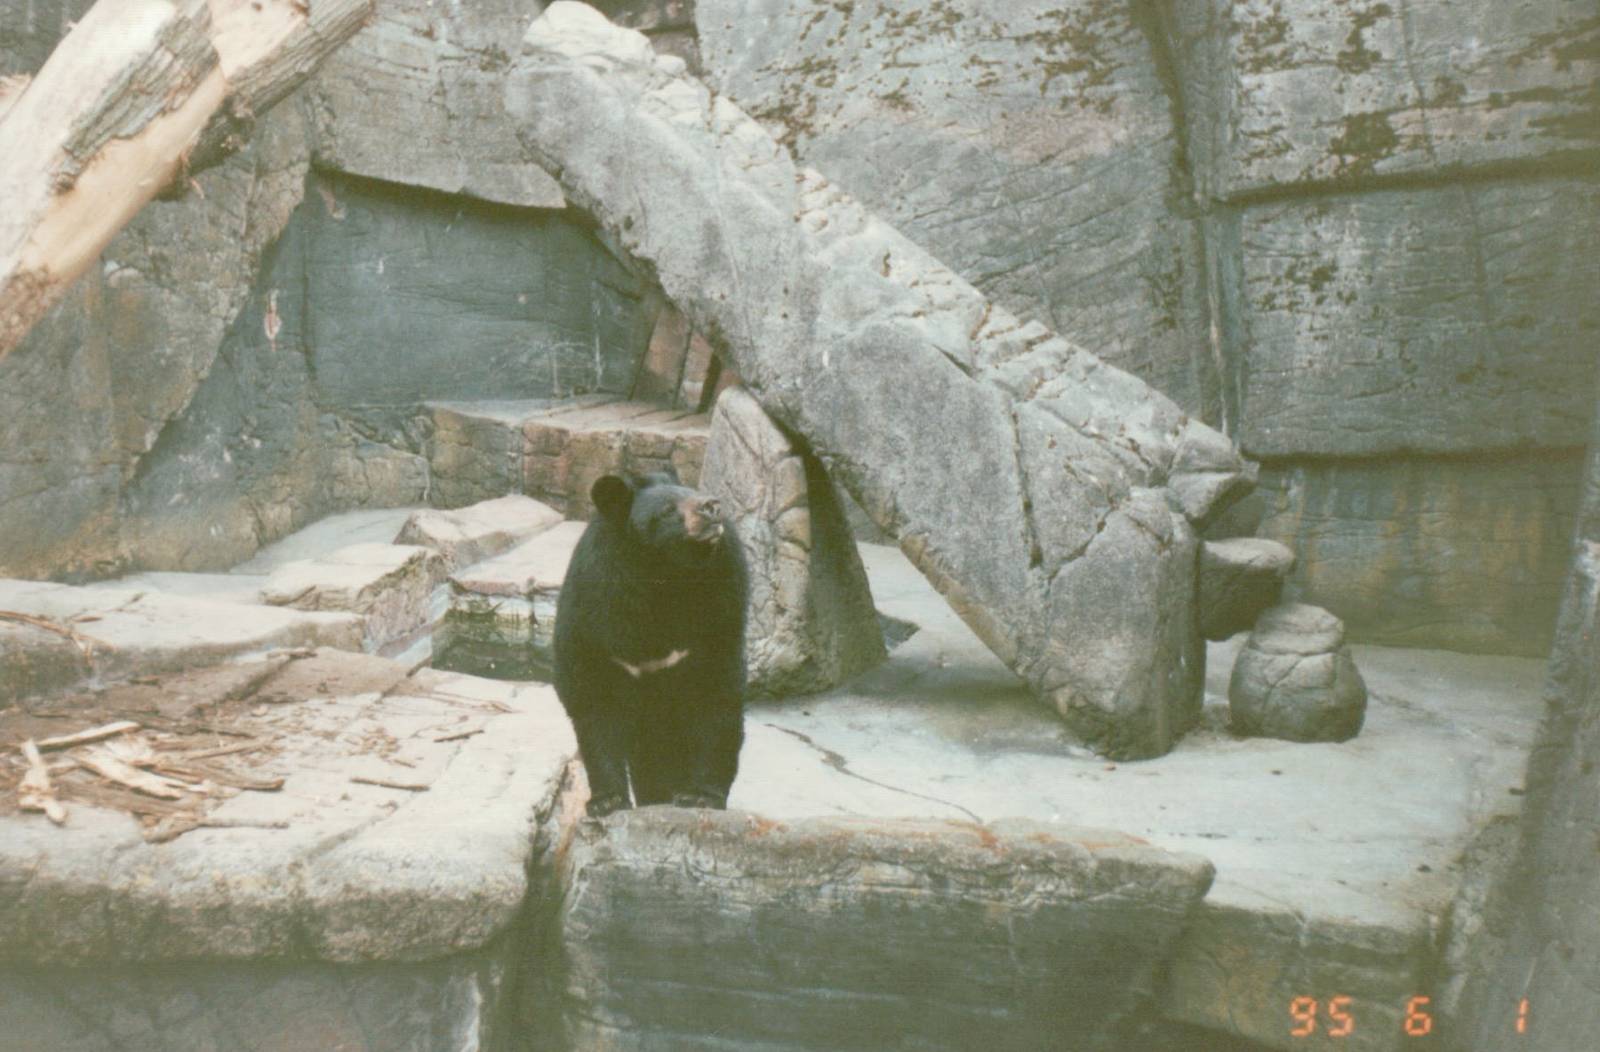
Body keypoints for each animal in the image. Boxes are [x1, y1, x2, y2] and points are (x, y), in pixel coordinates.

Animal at [553, 470, 748, 817]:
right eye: (668, 510)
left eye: (693, 491)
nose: (712, 507)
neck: (665, 576)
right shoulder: (594, 616)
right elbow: (594, 702)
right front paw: (607, 801)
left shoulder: (720, 609)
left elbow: (715, 694)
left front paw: (700, 796)